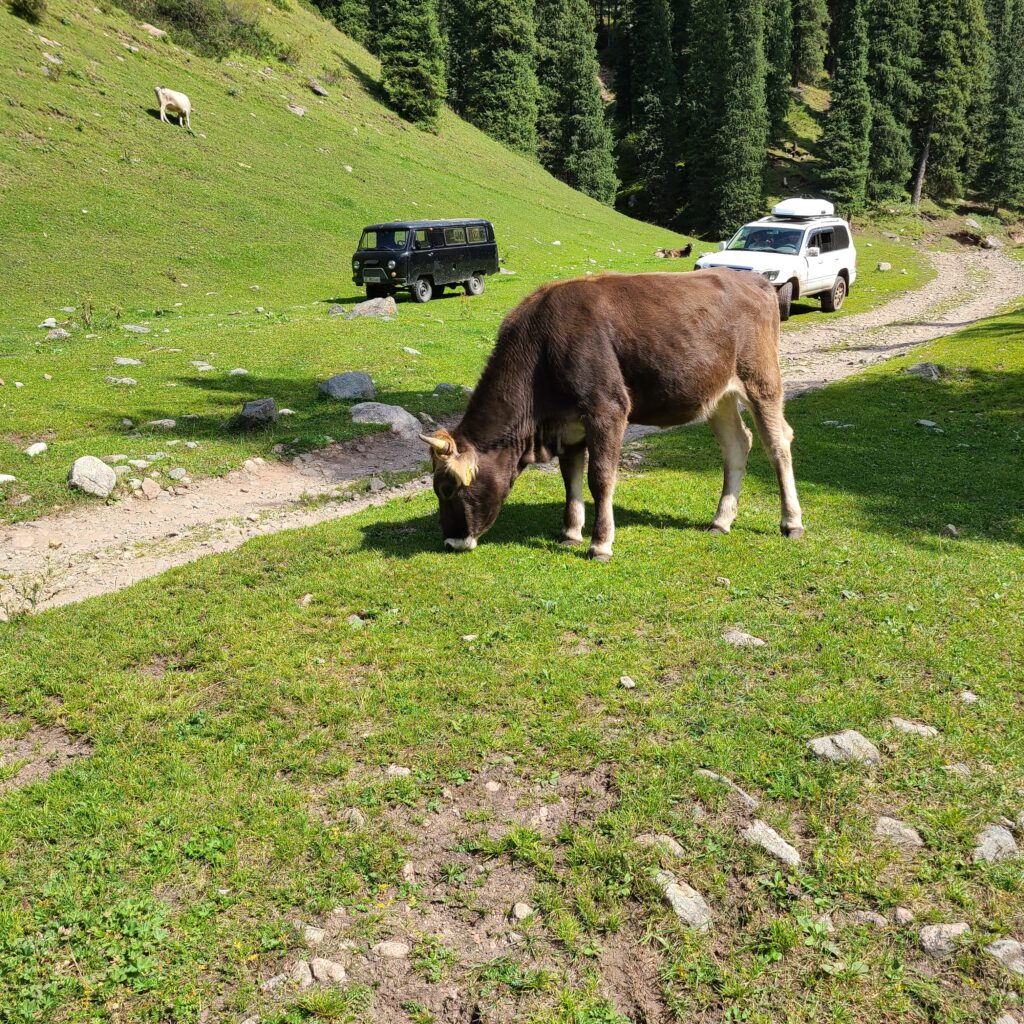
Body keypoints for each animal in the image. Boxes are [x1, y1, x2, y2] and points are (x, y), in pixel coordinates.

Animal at [421, 269, 804, 561]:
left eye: (447, 488)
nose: (451, 541)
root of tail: (753, 279)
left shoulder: (607, 409)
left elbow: (600, 478)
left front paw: (600, 543)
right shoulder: (567, 424)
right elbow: (571, 479)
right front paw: (570, 533)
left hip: (761, 379)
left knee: (777, 444)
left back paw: (791, 522)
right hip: (718, 393)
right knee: (738, 444)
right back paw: (721, 520)